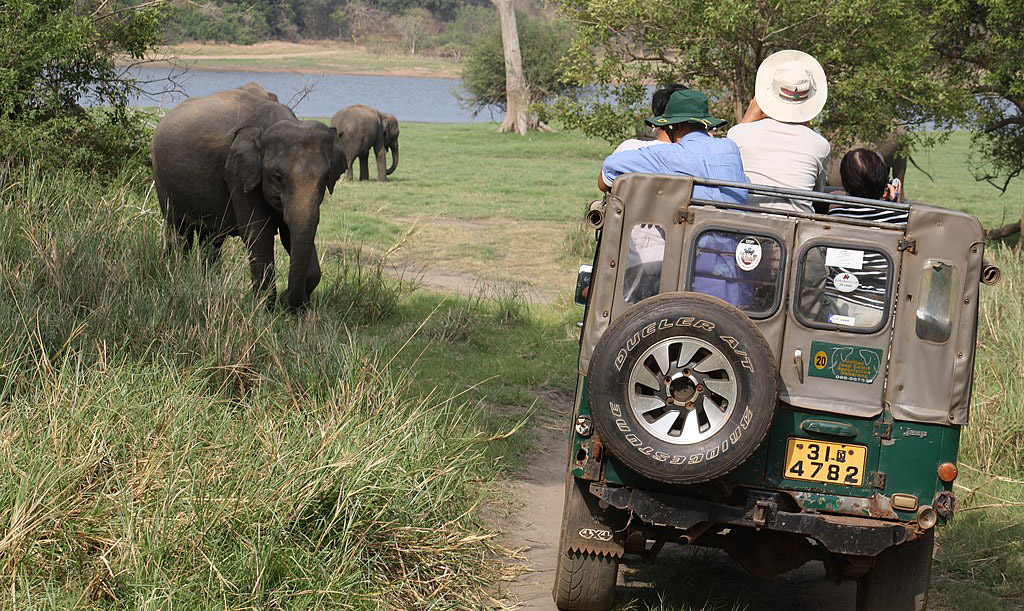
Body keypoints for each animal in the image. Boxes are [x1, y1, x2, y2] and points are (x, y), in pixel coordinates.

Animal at [149, 84, 346, 309]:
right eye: (278, 177)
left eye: (326, 178)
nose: (287, 298)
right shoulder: (238, 175)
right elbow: (258, 233)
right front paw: (265, 309)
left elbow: (290, 232)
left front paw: (293, 306)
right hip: (162, 177)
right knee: (178, 230)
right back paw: (176, 276)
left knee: (211, 238)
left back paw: (207, 285)